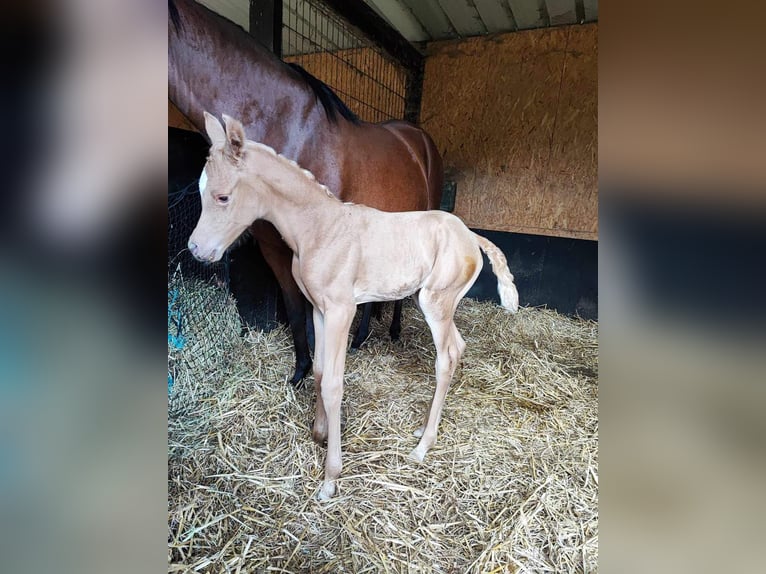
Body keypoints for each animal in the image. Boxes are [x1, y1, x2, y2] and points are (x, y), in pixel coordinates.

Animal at [170, 1, 444, 388]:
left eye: (223, 196)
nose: (196, 249)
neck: (286, 126)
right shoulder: (274, 247)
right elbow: (295, 310)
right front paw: (300, 372)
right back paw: (361, 337)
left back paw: (393, 331)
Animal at [188, 112, 520, 500]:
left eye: (222, 196)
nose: (196, 250)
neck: (319, 229)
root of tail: (470, 235)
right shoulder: (318, 309)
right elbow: (318, 372)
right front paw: (318, 433)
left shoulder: (341, 311)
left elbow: (333, 384)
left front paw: (330, 477)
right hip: (440, 301)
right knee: (459, 346)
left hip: (435, 302)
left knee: (446, 357)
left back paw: (422, 446)